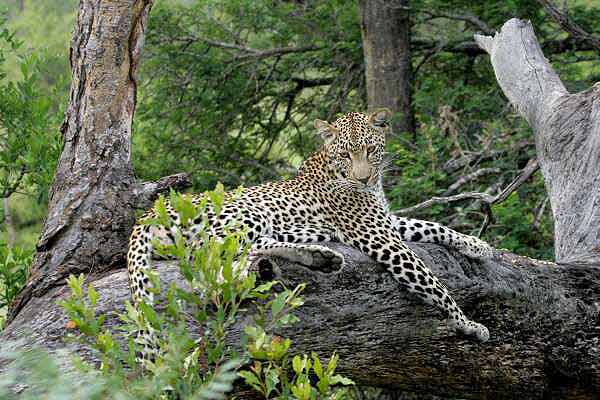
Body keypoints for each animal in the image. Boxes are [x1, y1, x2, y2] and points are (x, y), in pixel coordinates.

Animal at [126, 108, 492, 356]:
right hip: (246, 214)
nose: (364, 178)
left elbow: (431, 225)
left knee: (254, 248)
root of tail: (148, 214)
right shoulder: (378, 235)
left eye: (370, 150)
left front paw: (476, 245)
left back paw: (320, 259)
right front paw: (467, 323)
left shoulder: (385, 222)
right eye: (346, 153)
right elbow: (432, 282)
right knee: (214, 259)